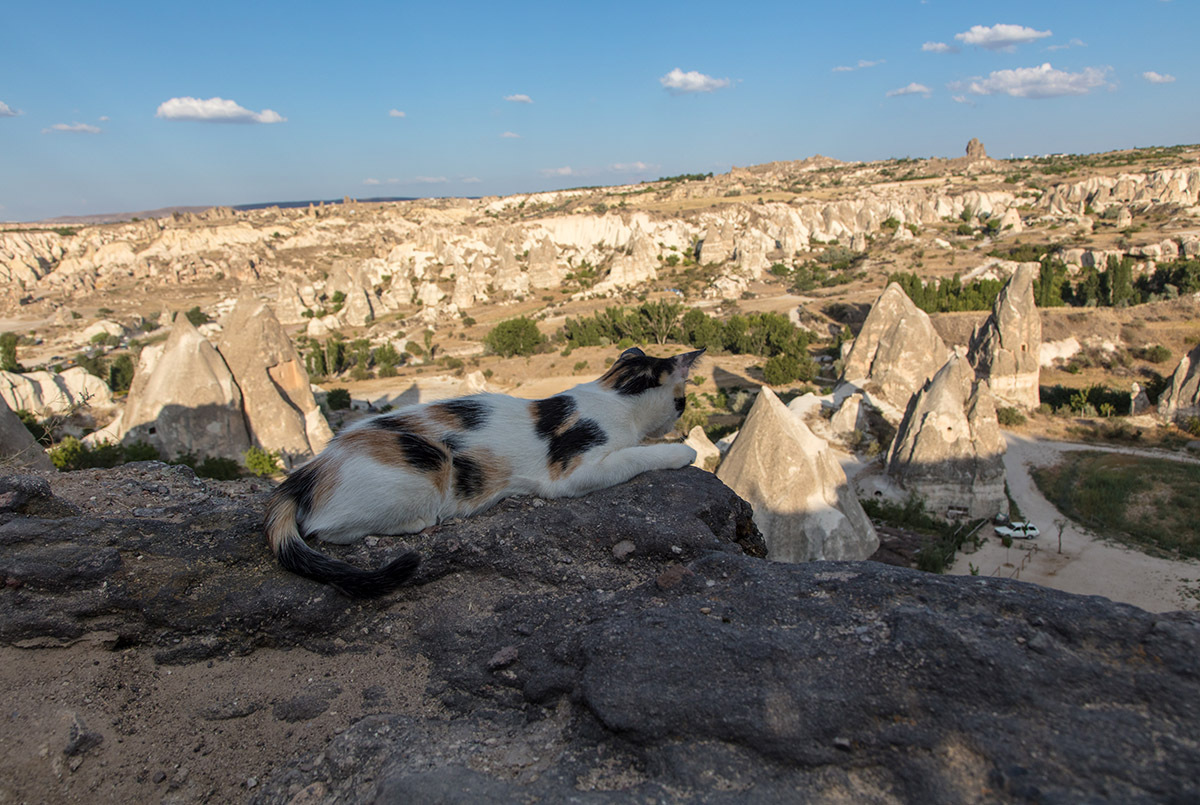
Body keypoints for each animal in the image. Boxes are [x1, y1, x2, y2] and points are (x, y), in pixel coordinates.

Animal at [266, 346, 704, 597]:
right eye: (681, 402)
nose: (677, 417)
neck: (612, 394)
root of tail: (307, 472)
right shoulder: (574, 471)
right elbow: (635, 456)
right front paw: (681, 450)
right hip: (428, 463)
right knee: (325, 528)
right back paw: (418, 522)